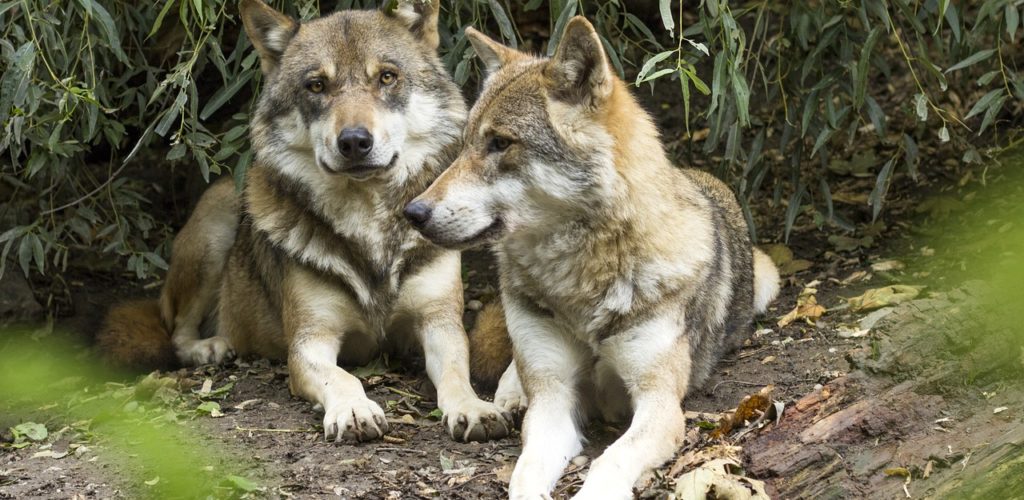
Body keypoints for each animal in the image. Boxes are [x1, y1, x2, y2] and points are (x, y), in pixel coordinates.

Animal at [96, 0, 512, 444]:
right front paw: (353, 410)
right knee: (175, 331)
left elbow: (456, 374)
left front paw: (473, 408)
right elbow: (344, 378)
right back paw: (210, 346)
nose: (354, 141)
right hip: (216, 226)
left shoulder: (441, 326)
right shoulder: (309, 342)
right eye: (316, 86)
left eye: (387, 77)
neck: (368, 222)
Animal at [403, 16, 778, 500]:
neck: (581, 284)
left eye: (500, 143)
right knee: (515, 370)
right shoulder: (554, 400)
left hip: (768, 281)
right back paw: (510, 396)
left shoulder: (659, 405)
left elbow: (609, 462)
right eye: (466, 144)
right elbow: (526, 472)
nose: (413, 212)